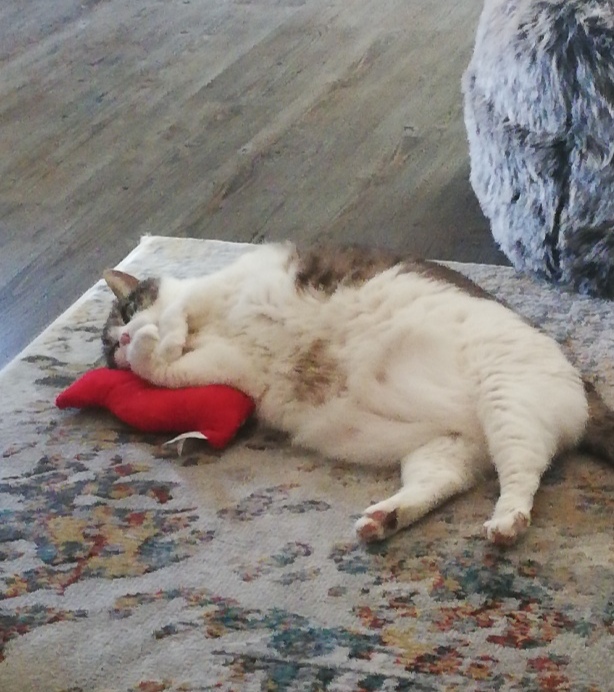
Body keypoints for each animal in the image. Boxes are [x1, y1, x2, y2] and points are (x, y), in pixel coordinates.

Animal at [101, 243, 614, 548]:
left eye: (127, 309)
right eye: (109, 350)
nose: (122, 339)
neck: (208, 333)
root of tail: (584, 386)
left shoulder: (218, 294)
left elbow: (177, 313)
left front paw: (157, 333)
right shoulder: (225, 367)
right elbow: (162, 368)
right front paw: (152, 348)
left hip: (507, 402)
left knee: (523, 474)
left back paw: (507, 522)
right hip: (447, 448)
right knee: (441, 482)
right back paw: (385, 518)